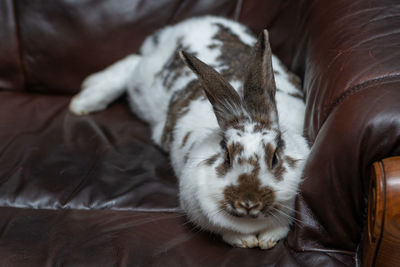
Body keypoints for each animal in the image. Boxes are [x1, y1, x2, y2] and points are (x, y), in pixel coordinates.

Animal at [69, 16, 310, 250]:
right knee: (132, 63)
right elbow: (226, 231)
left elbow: (278, 228)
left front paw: (267, 239)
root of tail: (181, 27)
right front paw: (244, 240)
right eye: (227, 157)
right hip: (143, 85)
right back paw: (83, 100)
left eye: (275, 158)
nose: (248, 202)